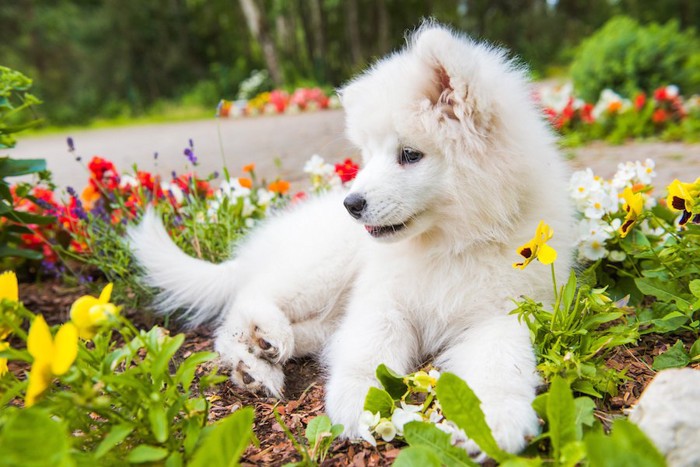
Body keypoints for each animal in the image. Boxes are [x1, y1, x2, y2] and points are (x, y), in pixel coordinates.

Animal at [130, 23, 576, 456]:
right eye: (369, 153)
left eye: (409, 154)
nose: (352, 204)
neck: (448, 244)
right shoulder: (383, 299)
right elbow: (370, 346)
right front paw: (361, 403)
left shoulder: (502, 313)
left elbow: (502, 362)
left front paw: (494, 425)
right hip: (323, 264)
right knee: (244, 304)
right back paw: (263, 346)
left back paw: (262, 357)